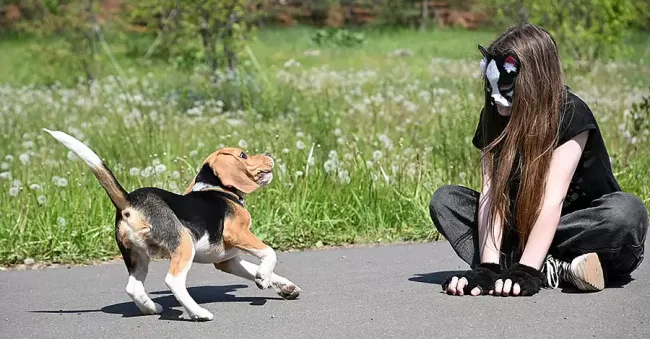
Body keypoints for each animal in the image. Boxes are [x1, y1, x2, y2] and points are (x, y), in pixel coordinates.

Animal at [43, 129, 302, 322]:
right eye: (244, 155)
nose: (268, 153)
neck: (217, 189)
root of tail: (130, 201)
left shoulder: (227, 260)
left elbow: (258, 268)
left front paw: (282, 286)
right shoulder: (238, 232)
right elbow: (269, 253)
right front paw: (263, 278)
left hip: (136, 255)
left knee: (133, 287)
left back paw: (150, 308)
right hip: (184, 244)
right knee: (173, 281)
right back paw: (198, 313)